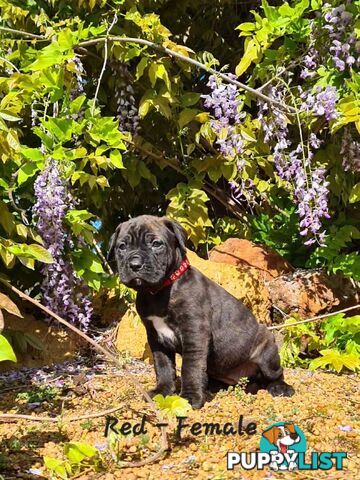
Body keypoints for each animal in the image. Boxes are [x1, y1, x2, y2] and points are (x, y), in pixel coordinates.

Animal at [108, 216, 294, 406]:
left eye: (156, 244)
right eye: (122, 246)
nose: (134, 265)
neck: (159, 291)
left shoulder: (194, 333)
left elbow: (190, 367)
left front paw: (190, 397)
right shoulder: (156, 337)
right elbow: (163, 366)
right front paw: (163, 390)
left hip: (266, 351)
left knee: (276, 373)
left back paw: (280, 387)